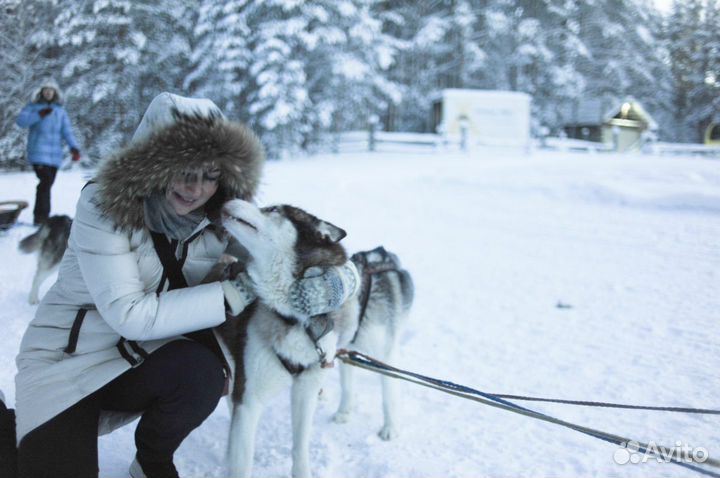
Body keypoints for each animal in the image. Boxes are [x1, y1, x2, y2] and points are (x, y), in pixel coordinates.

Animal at [218, 199, 350, 478]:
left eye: (273, 210)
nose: (229, 200)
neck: (296, 319)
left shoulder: (306, 390)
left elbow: (300, 449)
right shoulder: (250, 400)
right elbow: (242, 463)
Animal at [330, 246, 410, 440]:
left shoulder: (386, 354)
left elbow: (388, 396)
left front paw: (390, 427)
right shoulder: (346, 352)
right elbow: (346, 387)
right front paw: (344, 413)